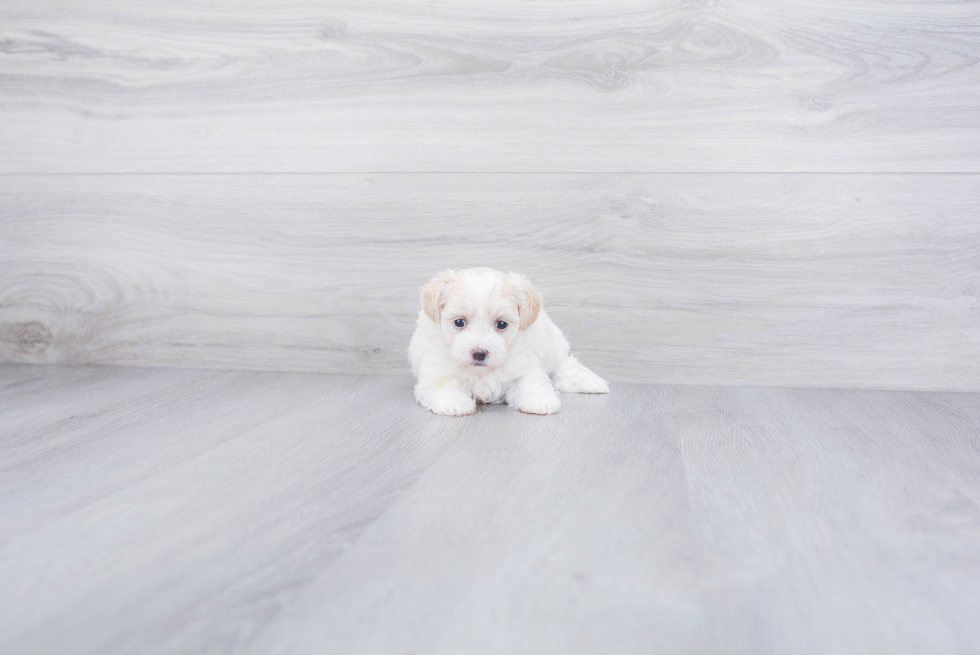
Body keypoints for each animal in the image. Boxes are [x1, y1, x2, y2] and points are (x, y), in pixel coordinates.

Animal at [406, 270, 604, 418]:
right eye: (459, 322)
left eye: (501, 324)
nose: (479, 353)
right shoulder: (436, 371)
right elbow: (445, 385)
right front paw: (454, 402)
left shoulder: (526, 367)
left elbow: (531, 382)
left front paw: (539, 401)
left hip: (552, 343)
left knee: (564, 364)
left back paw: (592, 382)